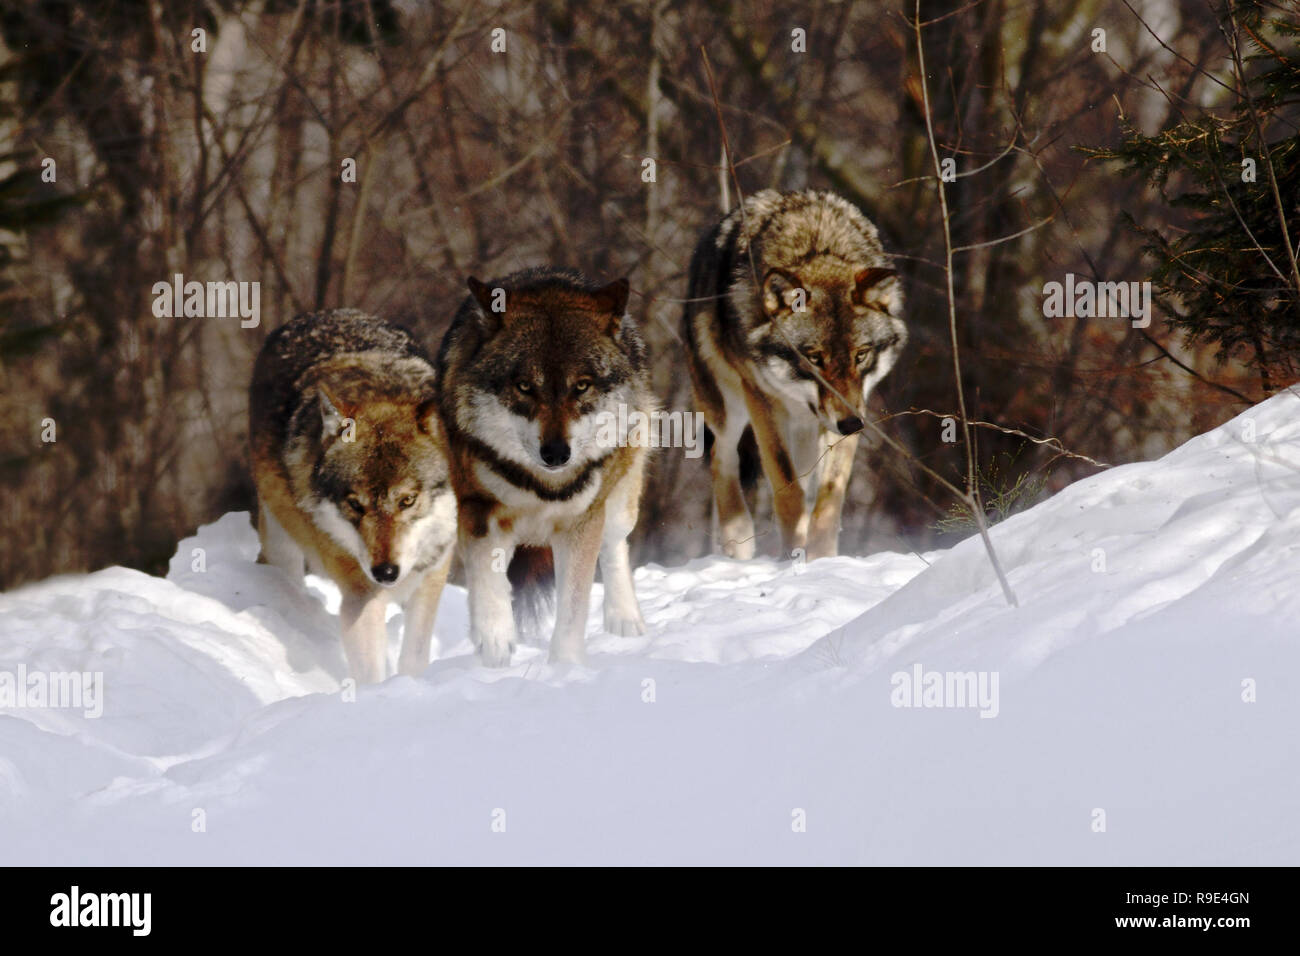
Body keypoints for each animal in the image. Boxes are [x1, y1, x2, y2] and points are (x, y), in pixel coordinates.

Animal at [248, 310, 457, 686]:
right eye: (355, 504)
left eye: (407, 500)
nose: (385, 572)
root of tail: (317, 315)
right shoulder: (362, 597)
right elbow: (370, 672)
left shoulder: (432, 576)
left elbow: (414, 657)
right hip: (281, 545)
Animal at [436, 267, 655, 665]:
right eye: (524, 386)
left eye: (582, 386)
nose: (556, 454)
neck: (542, 486)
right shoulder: (478, 510)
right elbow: (487, 582)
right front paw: (494, 645)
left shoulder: (581, 522)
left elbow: (573, 610)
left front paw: (565, 668)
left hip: (619, 505)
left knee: (615, 545)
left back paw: (624, 619)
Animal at [686, 188, 909, 561]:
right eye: (815, 358)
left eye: (861, 355)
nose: (852, 425)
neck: (815, 246)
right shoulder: (762, 399)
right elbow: (786, 488)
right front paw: (794, 556)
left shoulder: (855, 406)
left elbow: (829, 496)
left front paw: (821, 559)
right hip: (728, 408)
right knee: (722, 457)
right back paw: (738, 539)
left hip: (807, 432)